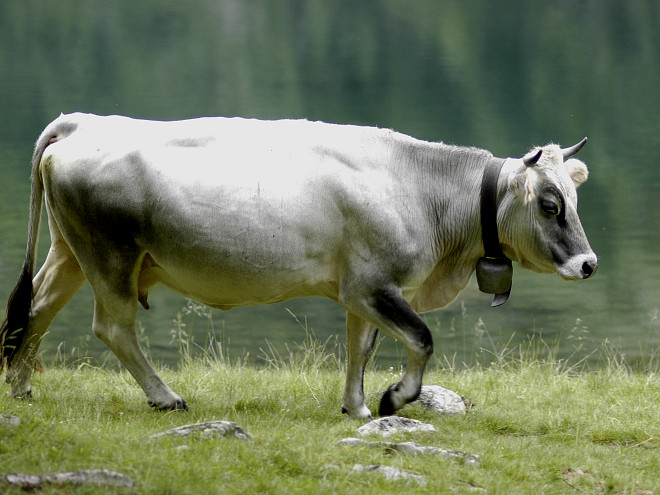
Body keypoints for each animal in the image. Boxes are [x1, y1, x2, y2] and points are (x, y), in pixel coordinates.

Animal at [1, 113, 597, 418]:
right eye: (550, 204)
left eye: (574, 197)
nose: (589, 263)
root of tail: (83, 122)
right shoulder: (374, 286)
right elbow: (421, 339)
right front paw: (393, 399)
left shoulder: (361, 290)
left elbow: (361, 349)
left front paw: (357, 409)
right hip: (110, 254)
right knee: (113, 327)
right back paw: (164, 396)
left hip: (72, 250)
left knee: (37, 306)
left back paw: (21, 387)